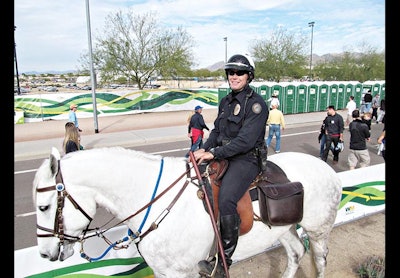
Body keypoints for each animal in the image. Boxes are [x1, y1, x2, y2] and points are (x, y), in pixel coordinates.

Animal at [32, 147, 342, 276]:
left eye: (44, 206)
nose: (45, 254)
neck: (153, 198)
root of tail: (327, 168)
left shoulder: (183, 272)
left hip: (318, 231)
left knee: (319, 260)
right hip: (283, 229)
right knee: (295, 254)